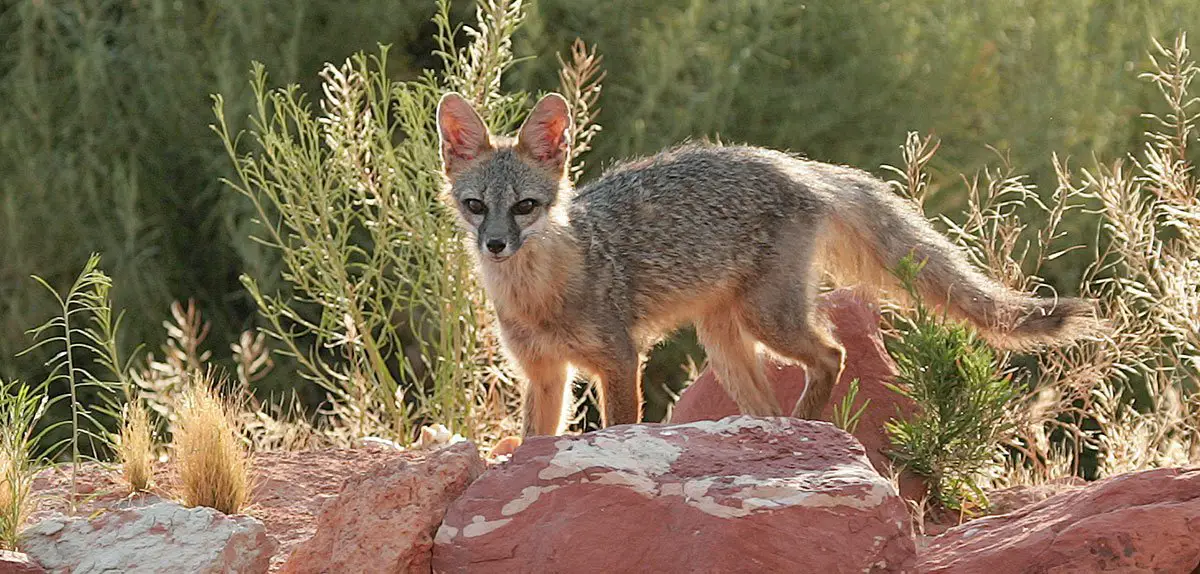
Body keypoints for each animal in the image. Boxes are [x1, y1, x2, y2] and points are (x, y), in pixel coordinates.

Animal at [435, 91, 1098, 437]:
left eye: (525, 207)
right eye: (476, 207)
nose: (496, 245)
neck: (536, 297)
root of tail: (789, 161)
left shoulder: (620, 361)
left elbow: (621, 426)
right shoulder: (544, 374)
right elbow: (531, 444)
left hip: (766, 321)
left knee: (831, 354)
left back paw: (806, 428)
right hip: (725, 344)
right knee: (775, 399)